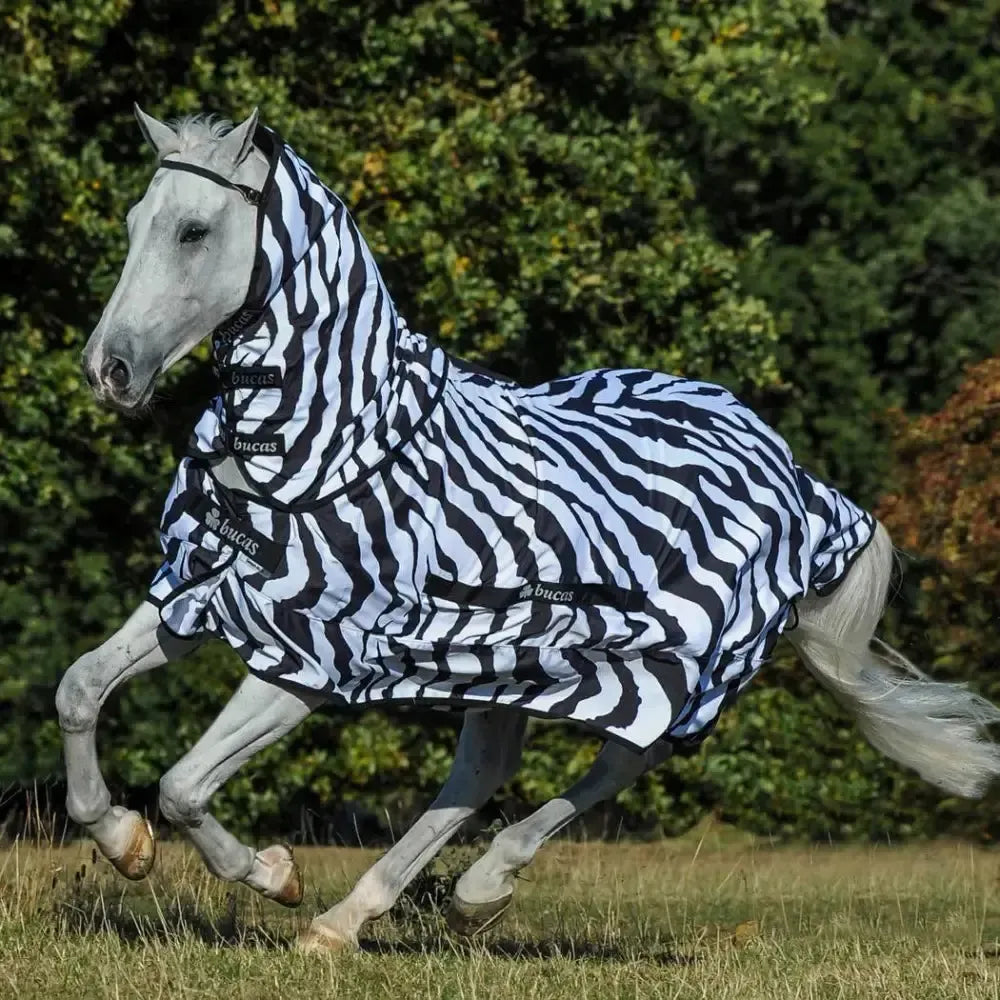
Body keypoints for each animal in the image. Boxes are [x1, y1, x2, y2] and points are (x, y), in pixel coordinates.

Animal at [57, 106, 1000, 952]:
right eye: (136, 221)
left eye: (193, 230)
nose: (108, 370)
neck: (326, 439)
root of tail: (791, 472)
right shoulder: (205, 588)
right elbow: (79, 690)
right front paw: (122, 842)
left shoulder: (313, 652)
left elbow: (184, 787)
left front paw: (273, 874)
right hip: (504, 661)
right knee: (482, 775)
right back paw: (348, 921)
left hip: (666, 666)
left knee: (618, 763)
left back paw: (468, 892)